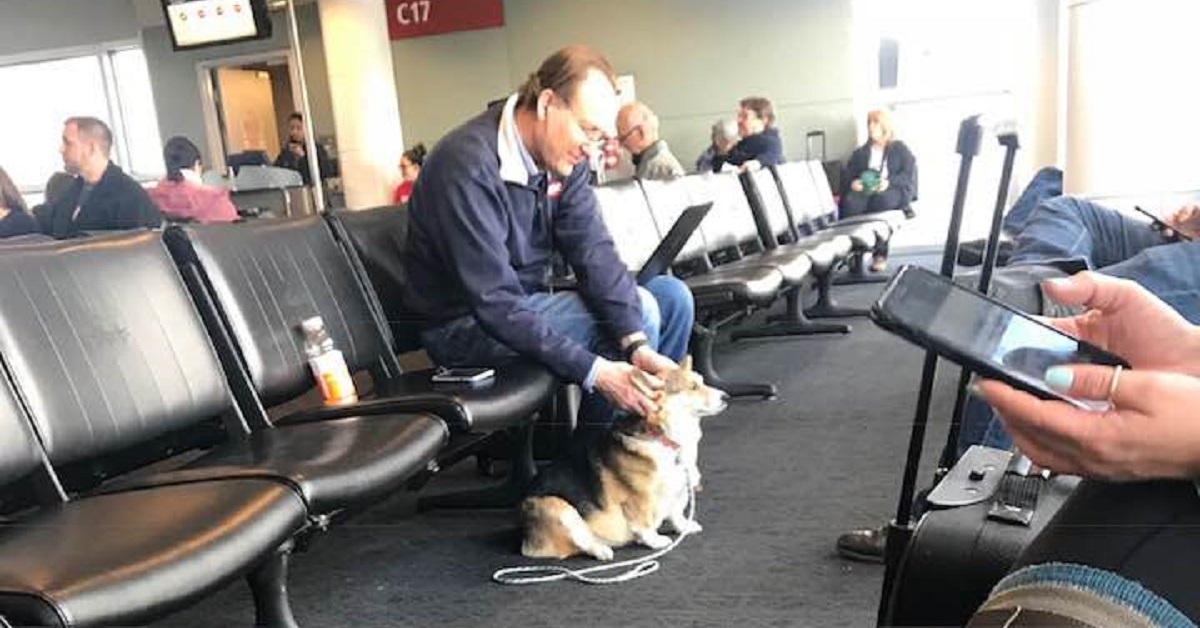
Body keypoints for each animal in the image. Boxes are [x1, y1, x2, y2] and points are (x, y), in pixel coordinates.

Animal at [516, 355, 720, 561]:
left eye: (702, 381)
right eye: (693, 387)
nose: (725, 397)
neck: (663, 437)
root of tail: (525, 540)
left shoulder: (678, 490)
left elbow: (677, 514)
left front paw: (685, 527)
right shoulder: (639, 499)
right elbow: (644, 523)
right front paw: (655, 541)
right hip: (559, 508)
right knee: (581, 542)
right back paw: (601, 549)